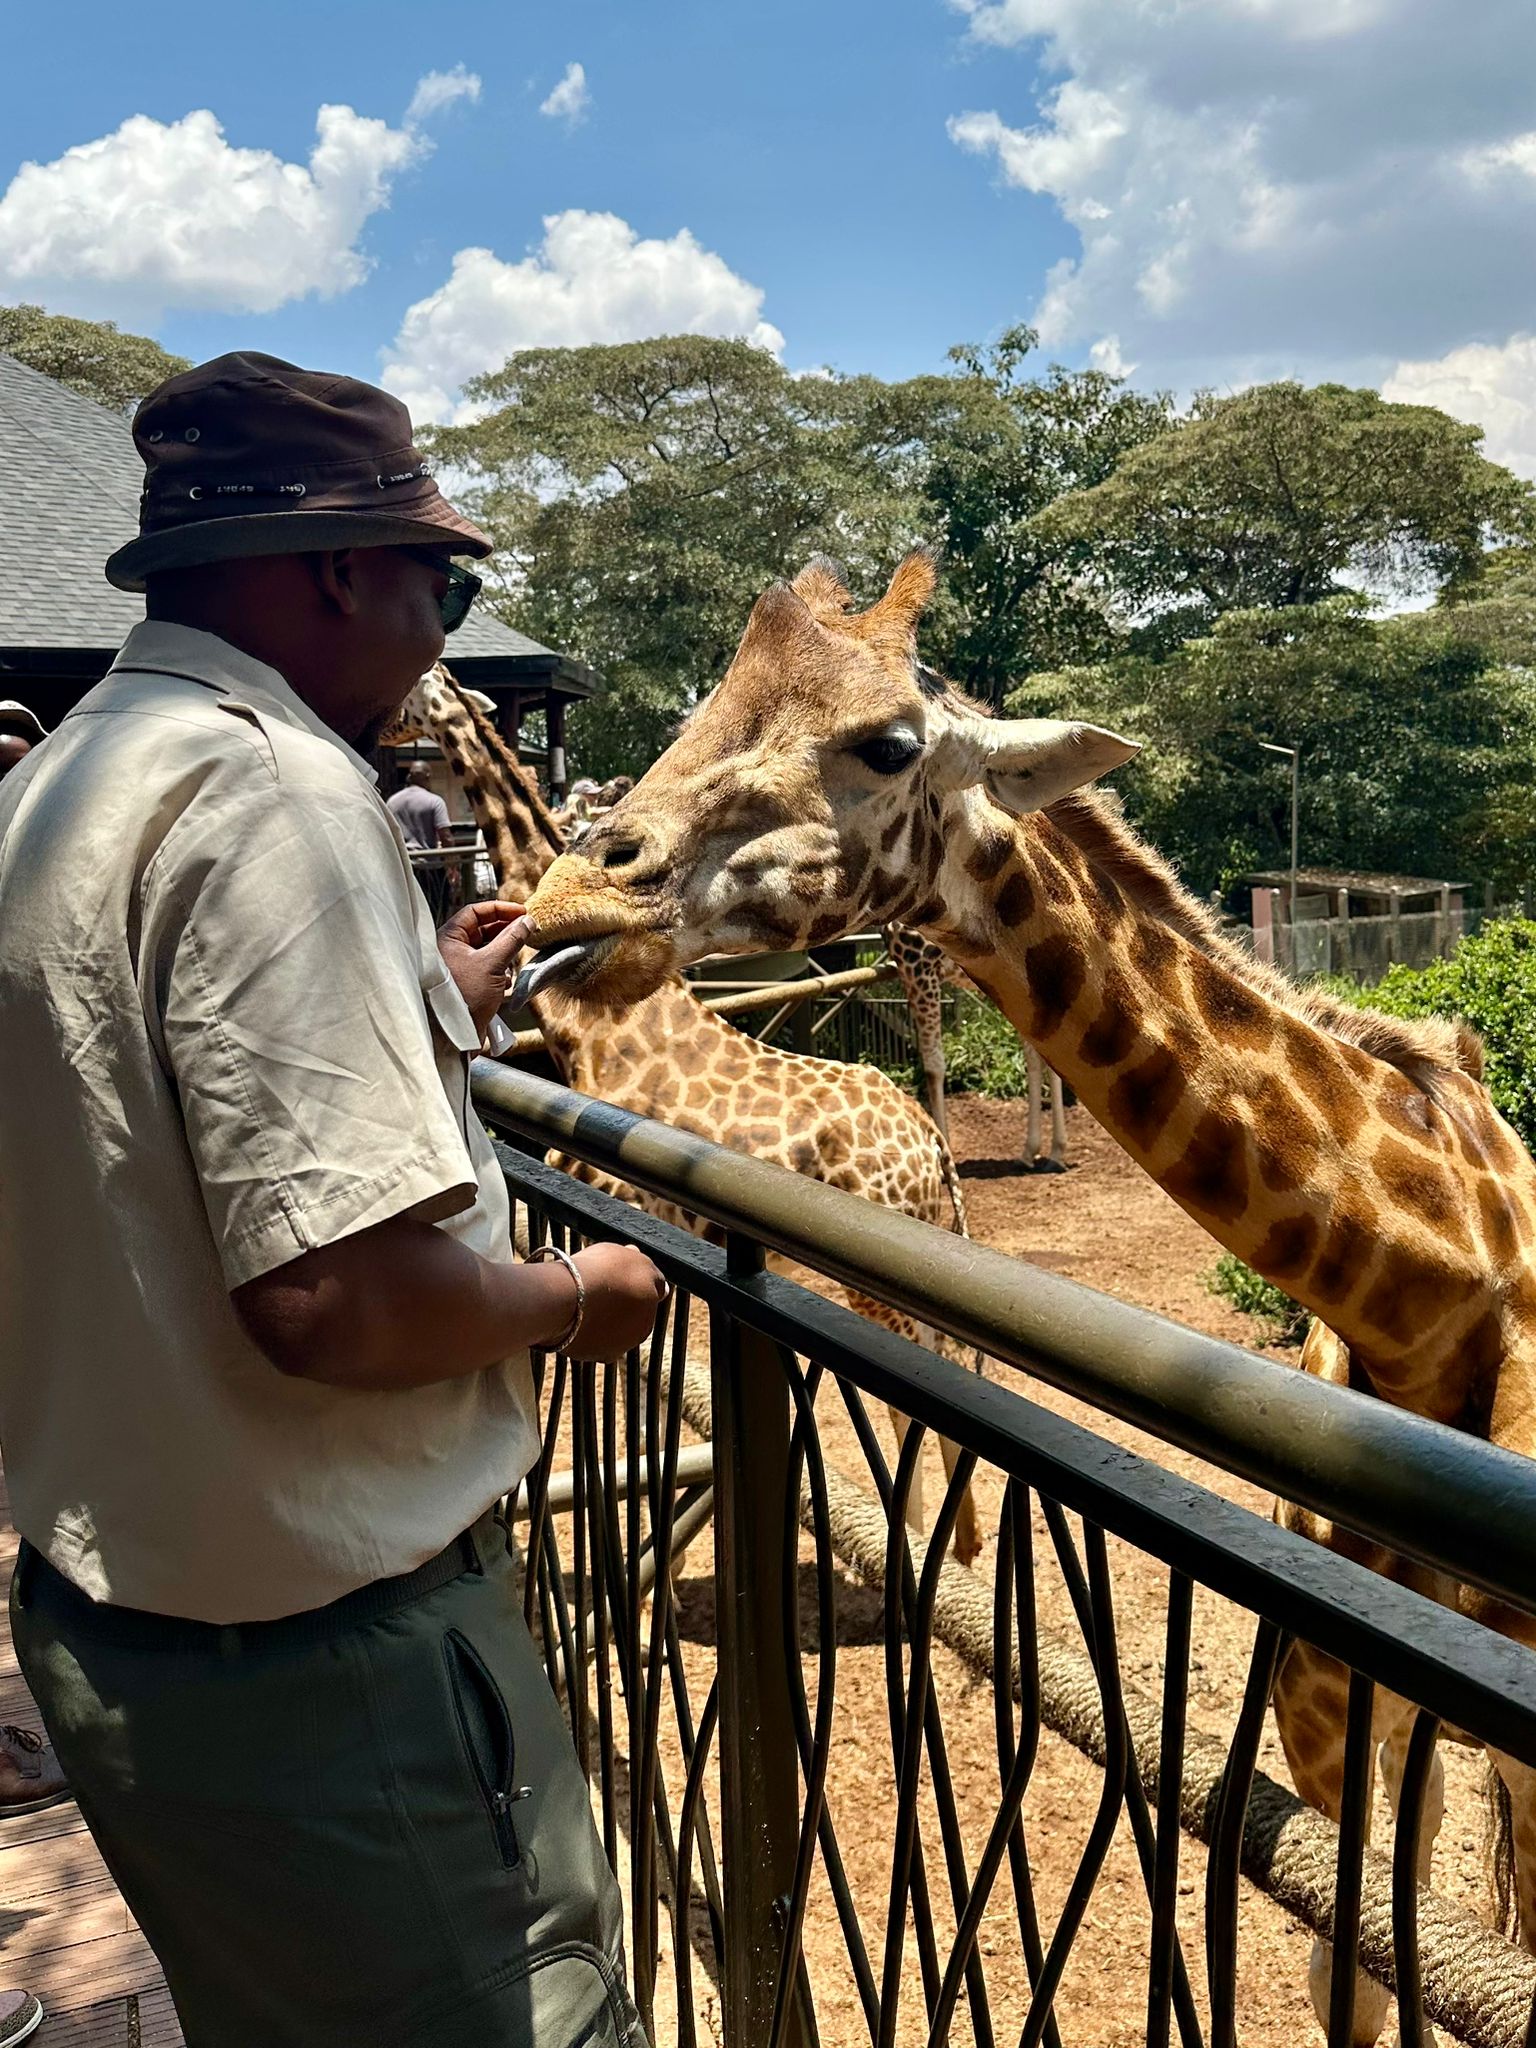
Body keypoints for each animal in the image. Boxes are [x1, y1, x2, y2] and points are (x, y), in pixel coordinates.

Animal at [396, 664, 985, 1563]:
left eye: (421, 688)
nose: (390, 733)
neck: (597, 1025)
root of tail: (933, 1153)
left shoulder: (613, 1204)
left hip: (883, 1289)